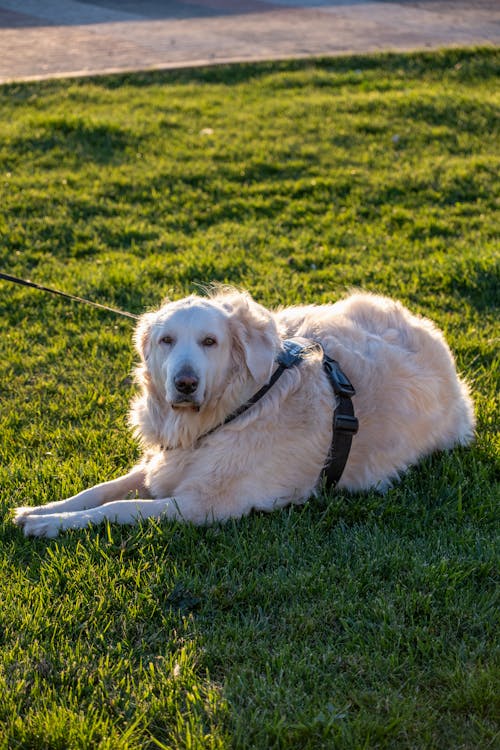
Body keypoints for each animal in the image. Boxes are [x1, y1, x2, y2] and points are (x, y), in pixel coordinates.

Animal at [11, 284, 474, 536]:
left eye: (209, 342)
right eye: (166, 341)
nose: (185, 384)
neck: (235, 404)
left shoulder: (203, 505)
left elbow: (117, 508)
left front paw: (52, 525)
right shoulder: (167, 464)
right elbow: (101, 490)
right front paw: (44, 510)